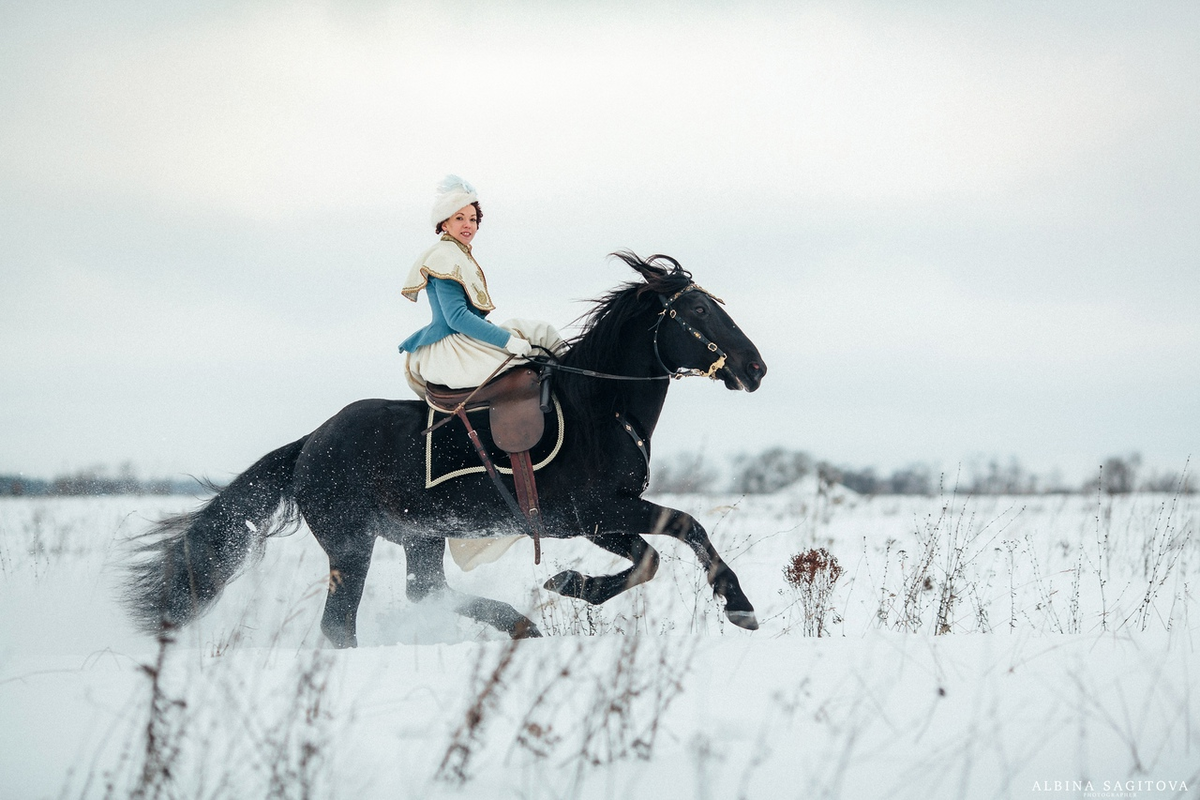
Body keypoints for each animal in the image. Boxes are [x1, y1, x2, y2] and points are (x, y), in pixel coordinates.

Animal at [126, 253, 768, 647]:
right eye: (699, 310)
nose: (756, 368)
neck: (598, 409)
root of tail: (311, 442)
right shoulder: (591, 512)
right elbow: (677, 532)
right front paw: (736, 604)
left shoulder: (599, 520)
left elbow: (652, 553)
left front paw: (572, 586)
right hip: (351, 544)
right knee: (341, 625)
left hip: (422, 535)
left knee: (423, 591)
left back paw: (520, 627)